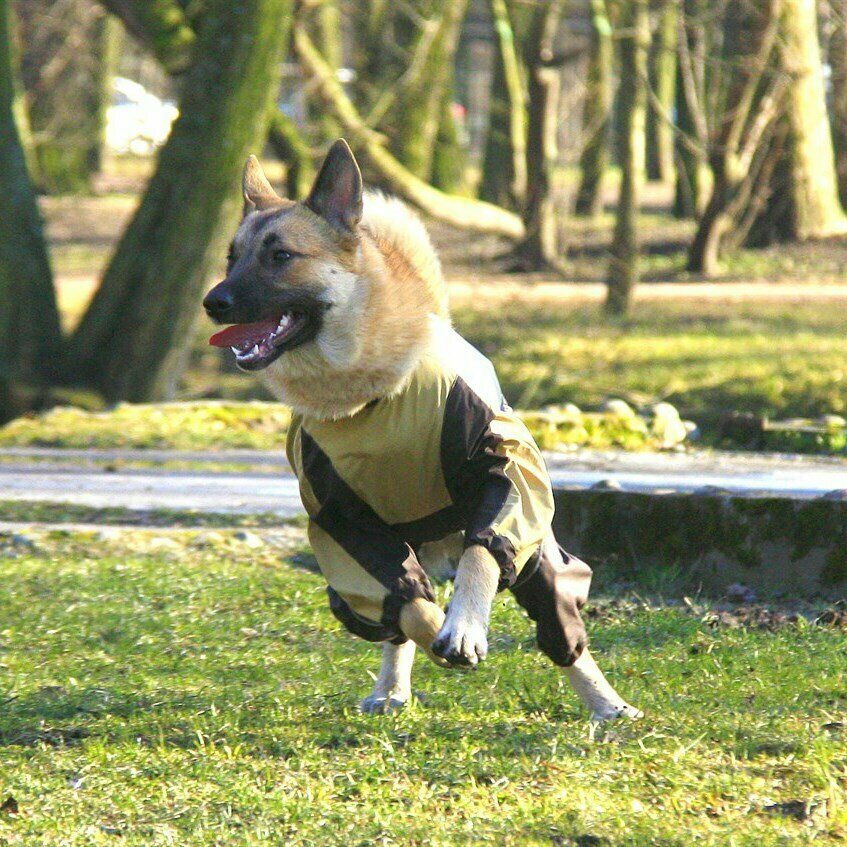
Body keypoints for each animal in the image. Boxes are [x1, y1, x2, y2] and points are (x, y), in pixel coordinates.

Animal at [204, 139, 644, 724]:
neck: (367, 396)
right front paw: (439, 631)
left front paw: (464, 625)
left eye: (281, 257)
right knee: (396, 618)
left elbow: (484, 552)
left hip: (538, 558)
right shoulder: (344, 525)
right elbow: (406, 606)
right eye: (232, 257)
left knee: (558, 620)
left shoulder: (501, 472)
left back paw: (606, 702)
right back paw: (392, 685)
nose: (213, 302)